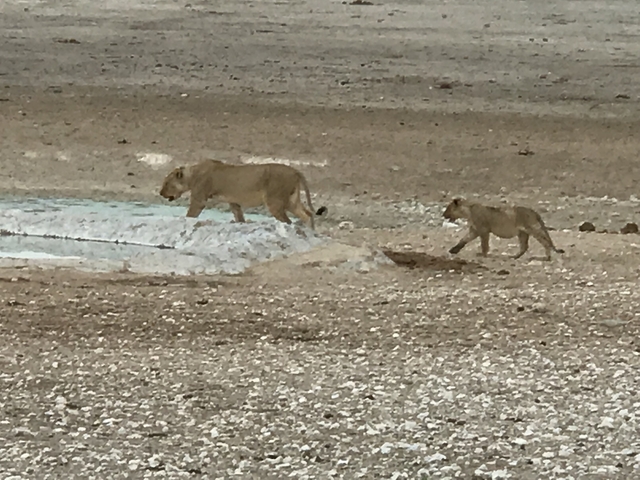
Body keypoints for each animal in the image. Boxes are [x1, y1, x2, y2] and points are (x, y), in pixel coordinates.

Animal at [159, 159, 324, 229]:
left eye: (166, 183)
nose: (160, 193)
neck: (192, 174)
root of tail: (295, 171)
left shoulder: (199, 199)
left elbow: (191, 214)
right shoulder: (233, 201)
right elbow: (239, 216)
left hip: (274, 201)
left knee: (288, 221)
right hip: (292, 200)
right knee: (307, 214)